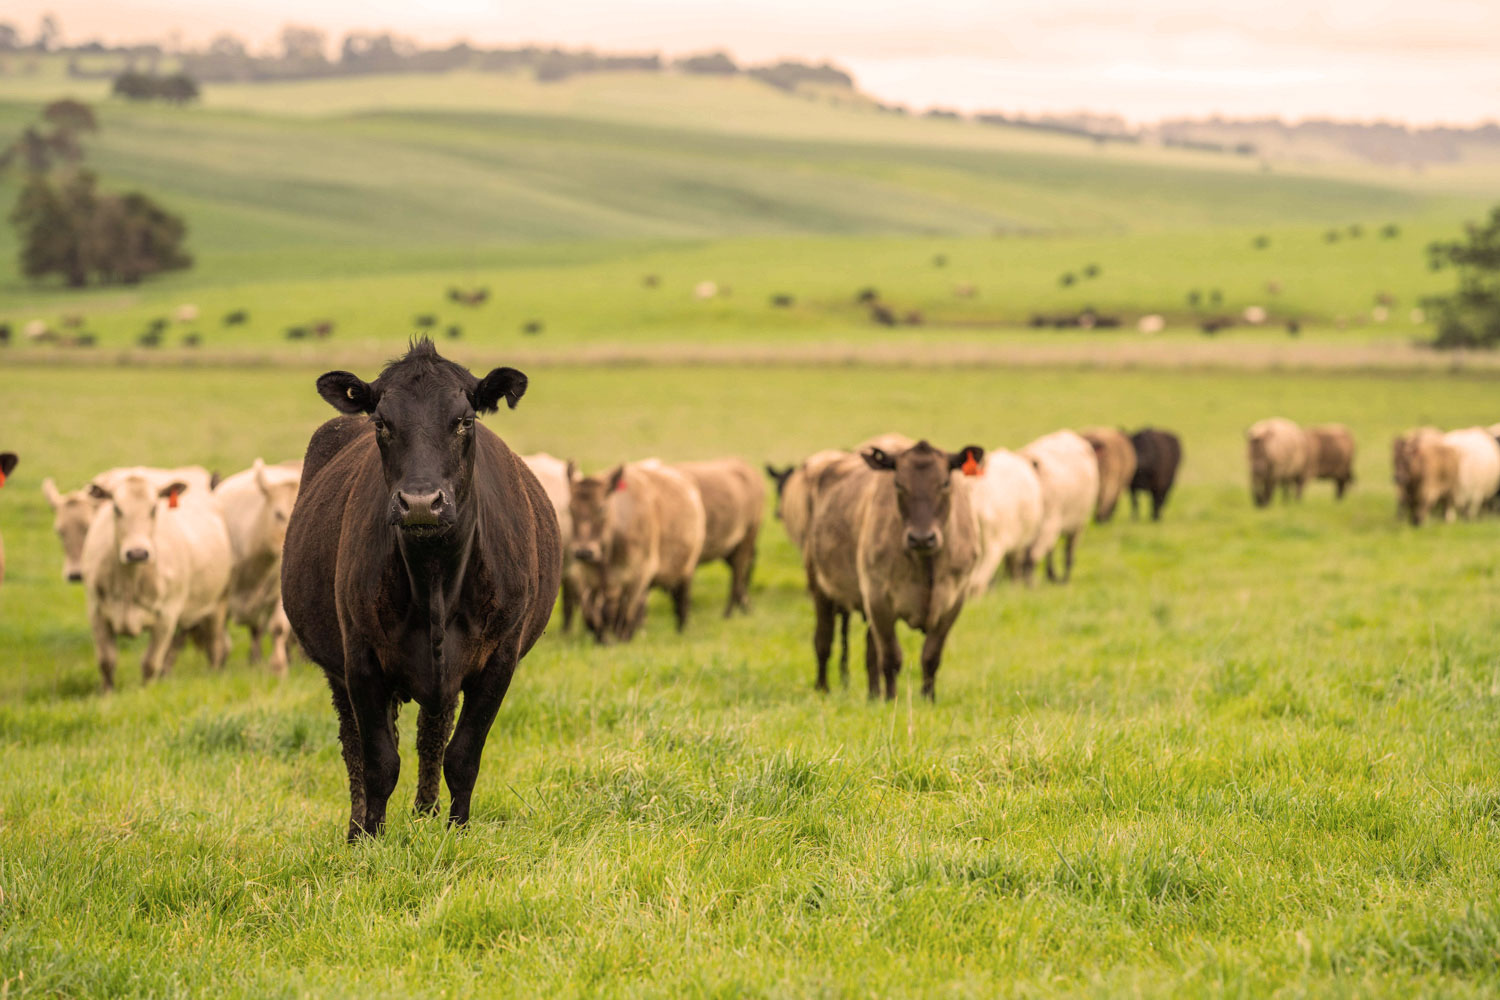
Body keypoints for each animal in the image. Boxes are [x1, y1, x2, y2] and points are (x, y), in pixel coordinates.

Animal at [82, 473, 232, 690]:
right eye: (116, 508)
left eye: (153, 508)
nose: (137, 553)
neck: (129, 583)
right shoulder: (97, 612)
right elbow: (106, 661)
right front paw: (107, 692)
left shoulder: (166, 616)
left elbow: (150, 662)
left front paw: (146, 690)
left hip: (217, 603)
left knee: (214, 645)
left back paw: (212, 675)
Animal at [280, 340, 561, 841]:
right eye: (381, 423)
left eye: (465, 420)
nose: (420, 503)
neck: (434, 578)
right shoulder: (360, 657)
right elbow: (377, 760)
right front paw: (369, 838)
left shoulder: (500, 657)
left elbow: (462, 755)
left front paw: (457, 831)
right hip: (339, 668)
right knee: (354, 744)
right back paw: (358, 824)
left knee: (432, 732)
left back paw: (427, 812)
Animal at [567, 460, 705, 643]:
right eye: (570, 508)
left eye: (602, 508)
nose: (583, 551)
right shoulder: (585, 577)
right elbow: (590, 614)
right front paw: (602, 640)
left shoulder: (640, 575)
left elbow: (627, 613)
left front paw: (623, 639)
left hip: (686, 571)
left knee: (681, 603)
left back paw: (680, 630)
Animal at [856, 440, 985, 700]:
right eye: (898, 483)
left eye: (945, 483)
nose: (922, 538)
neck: (926, 565)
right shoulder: (878, 602)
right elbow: (891, 657)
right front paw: (891, 699)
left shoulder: (953, 603)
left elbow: (931, 656)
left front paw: (929, 699)